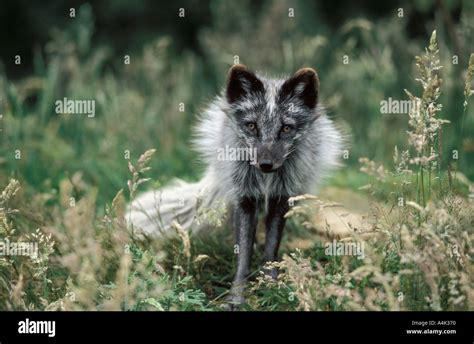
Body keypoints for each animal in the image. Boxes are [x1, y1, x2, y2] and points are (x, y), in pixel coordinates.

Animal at [130, 65, 342, 310]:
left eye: (286, 129)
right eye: (251, 126)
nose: (266, 164)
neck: (265, 180)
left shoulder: (281, 198)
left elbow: (271, 251)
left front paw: (270, 288)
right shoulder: (244, 198)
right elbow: (243, 256)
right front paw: (237, 297)